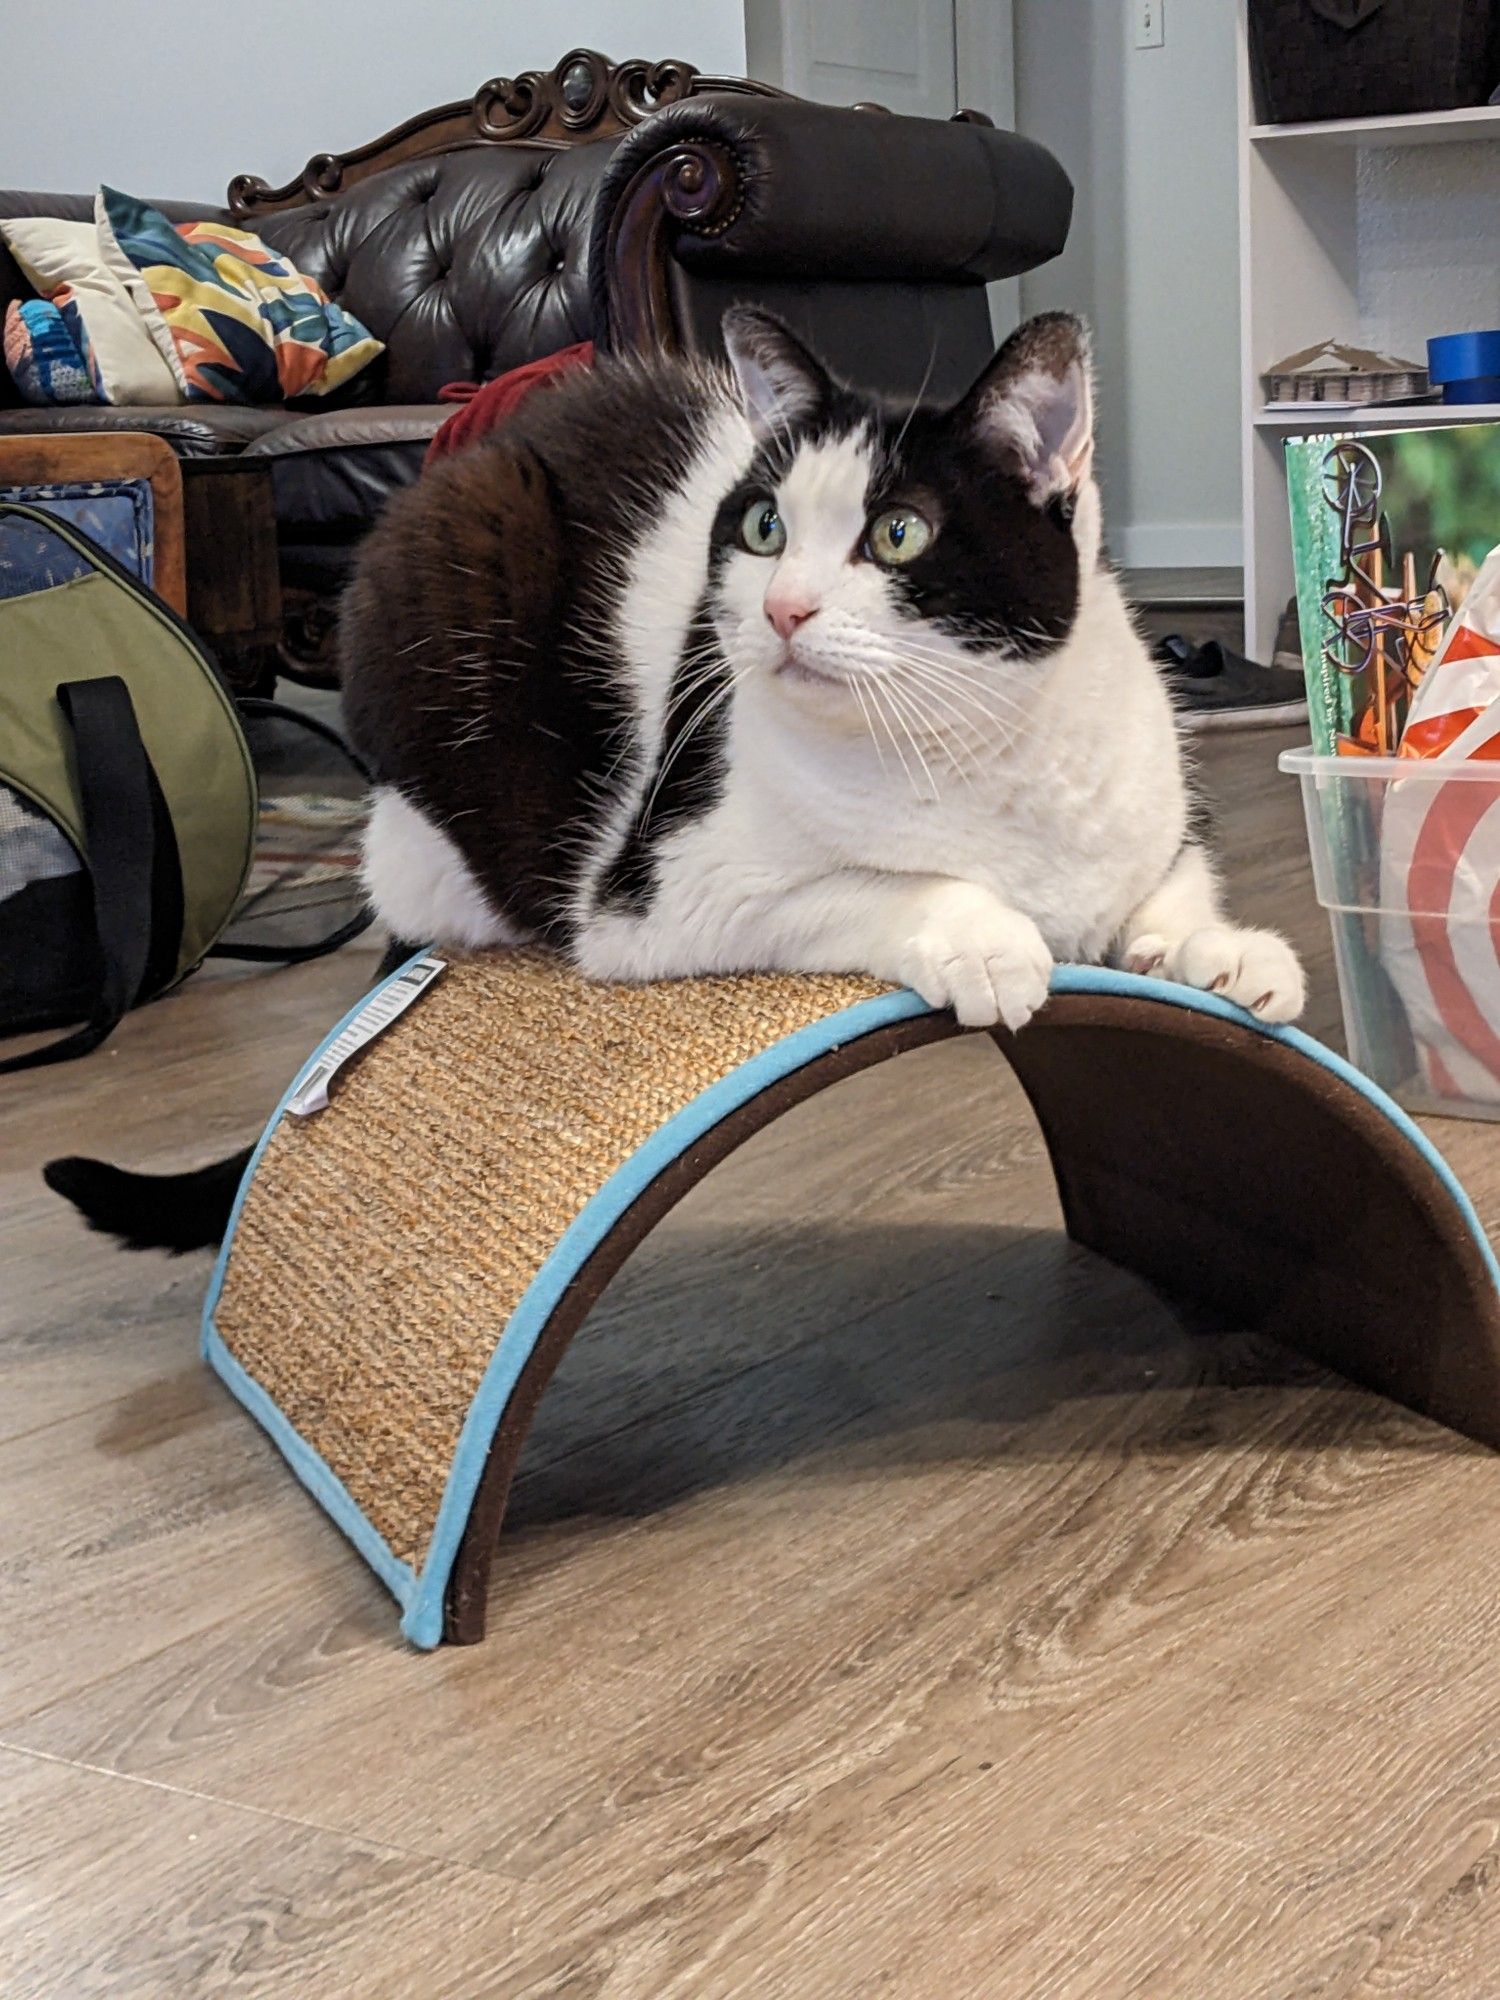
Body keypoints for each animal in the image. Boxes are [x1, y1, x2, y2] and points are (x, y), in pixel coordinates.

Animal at [41, 308, 1296, 1248]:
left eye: (898, 533)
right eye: (763, 525)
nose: (783, 608)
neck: (977, 748)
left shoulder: (1148, 810)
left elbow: (1173, 876)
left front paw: (1224, 950)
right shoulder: (667, 886)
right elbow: (877, 883)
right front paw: (984, 938)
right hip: (453, 569)